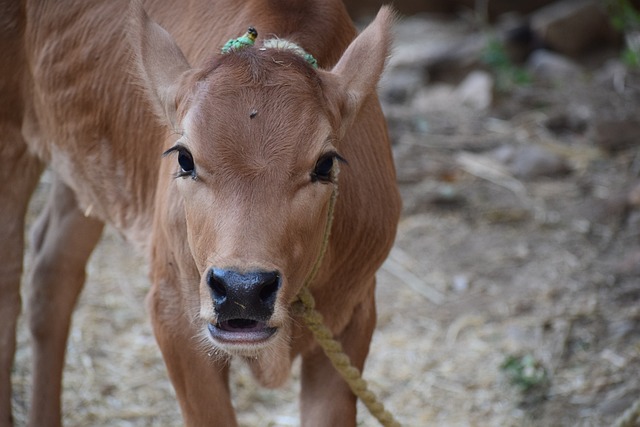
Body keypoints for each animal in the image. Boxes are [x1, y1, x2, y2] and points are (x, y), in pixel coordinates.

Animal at [0, 0, 400, 426]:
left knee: (52, 270)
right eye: (185, 158)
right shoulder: (173, 309)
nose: (243, 290)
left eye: (325, 164)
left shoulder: (355, 312)